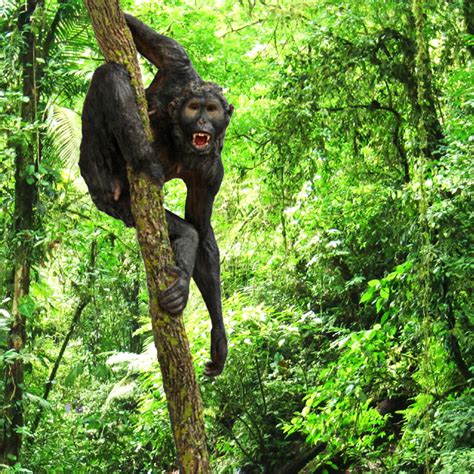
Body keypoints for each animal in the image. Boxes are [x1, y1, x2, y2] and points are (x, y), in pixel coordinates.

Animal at [80, 14, 235, 376]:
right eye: (194, 107)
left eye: (212, 109)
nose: (203, 120)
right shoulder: (178, 65)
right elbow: (150, 39)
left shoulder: (212, 173)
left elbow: (203, 226)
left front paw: (219, 338)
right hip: (101, 173)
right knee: (109, 75)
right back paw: (140, 160)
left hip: (123, 205)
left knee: (188, 230)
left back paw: (180, 276)